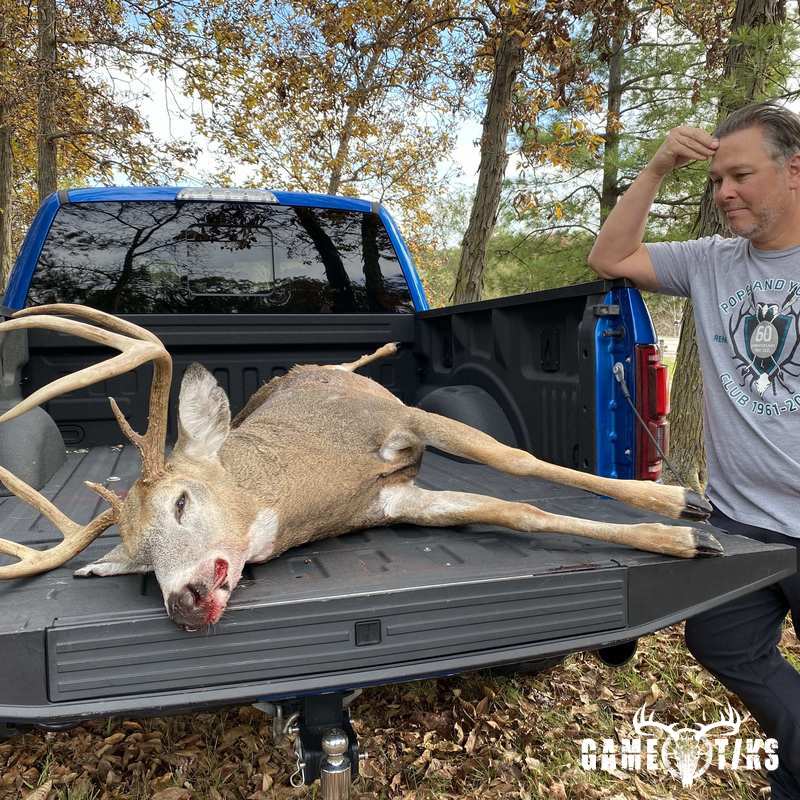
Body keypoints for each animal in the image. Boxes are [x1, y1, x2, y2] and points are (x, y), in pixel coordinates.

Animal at [0, 304, 722, 630]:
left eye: (181, 502)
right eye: (141, 562)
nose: (184, 600)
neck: (310, 481)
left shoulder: (400, 418)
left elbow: (513, 460)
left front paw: (686, 506)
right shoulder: (394, 501)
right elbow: (518, 509)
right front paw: (686, 538)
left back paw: (380, 348)